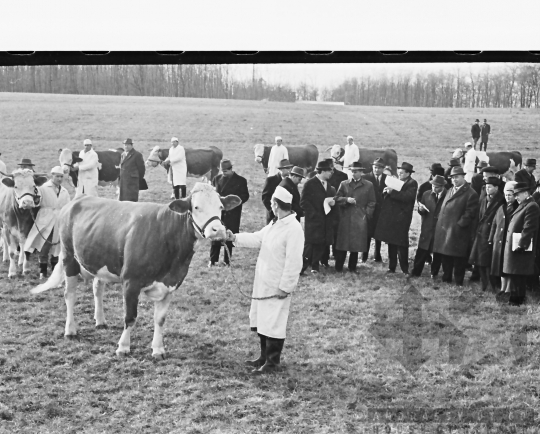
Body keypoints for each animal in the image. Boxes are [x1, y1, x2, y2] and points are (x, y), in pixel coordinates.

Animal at [30, 183, 239, 360]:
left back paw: (100, 320)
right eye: (196, 207)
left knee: (97, 289)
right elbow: (130, 317)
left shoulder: (170, 285)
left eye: (221, 207)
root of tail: (78, 199)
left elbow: (160, 319)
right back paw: (70, 330)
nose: (218, 230)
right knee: (70, 295)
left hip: (100, 260)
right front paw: (123, 347)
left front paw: (158, 349)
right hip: (68, 257)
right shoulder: (131, 282)